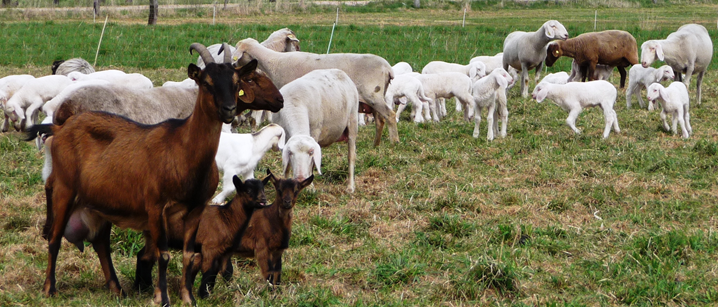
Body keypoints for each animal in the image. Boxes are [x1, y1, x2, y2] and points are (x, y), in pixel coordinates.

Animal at [29, 44, 284, 307]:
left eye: (236, 82)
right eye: (206, 83)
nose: (229, 109)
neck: (183, 150)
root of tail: (60, 126)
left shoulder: (195, 209)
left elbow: (188, 254)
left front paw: (188, 297)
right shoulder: (155, 207)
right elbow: (163, 255)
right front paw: (162, 297)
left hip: (99, 199)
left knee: (101, 242)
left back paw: (117, 289)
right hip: (66, 189)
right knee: (55, 236)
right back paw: (49, 288)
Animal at [232, 37, 396, 147]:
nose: (232, 66)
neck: (274, 63)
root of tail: (388, 68)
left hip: (373, 94)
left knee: (390, 115)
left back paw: (394, 142)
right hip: (375, 97)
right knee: (380, 120)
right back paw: (375, 145)